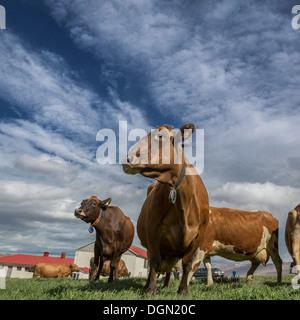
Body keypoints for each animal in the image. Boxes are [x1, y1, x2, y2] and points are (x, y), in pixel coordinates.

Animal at [122, 124, 209, 294]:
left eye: (160, 137)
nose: (127, 159)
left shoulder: (199, 234)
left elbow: (187, 264)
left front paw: (183, 290)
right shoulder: (153, 228)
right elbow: (154, 261)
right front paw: (151, 290)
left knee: (169, 269)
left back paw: (167, 284)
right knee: (152, 263)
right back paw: (148, 284)